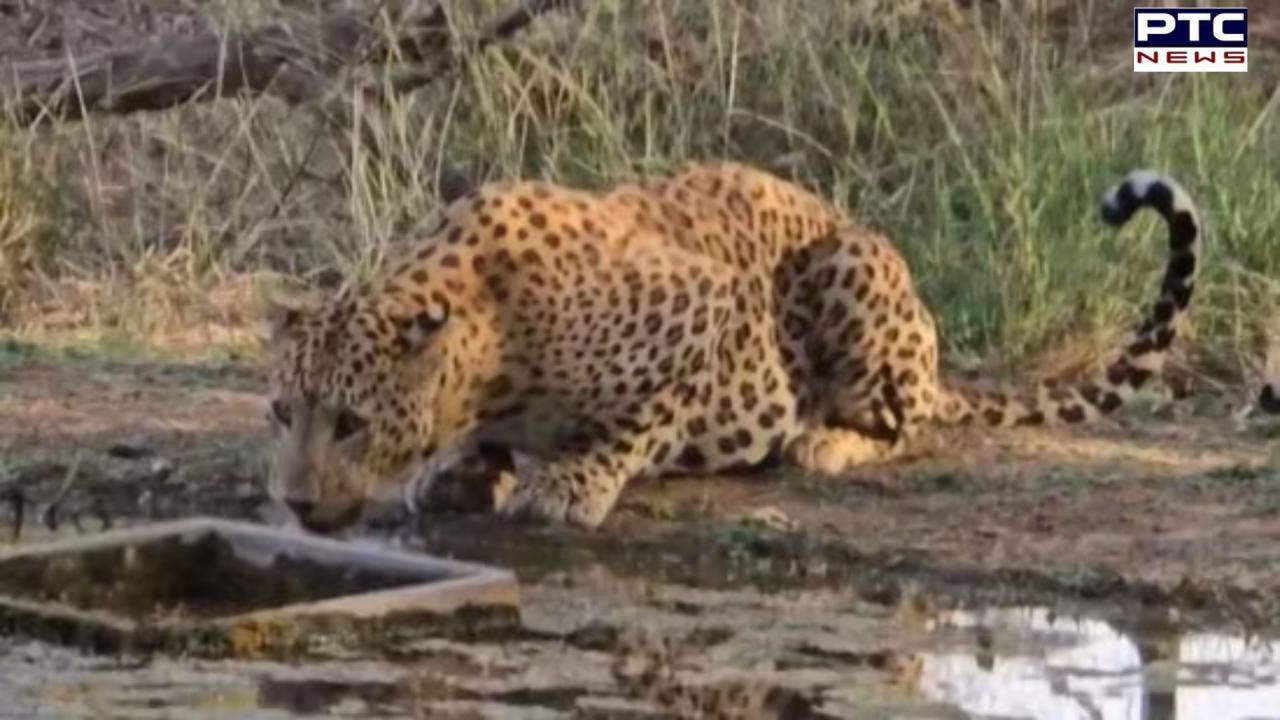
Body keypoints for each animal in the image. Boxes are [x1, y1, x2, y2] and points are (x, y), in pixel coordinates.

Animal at [264, 162, 1203, 532]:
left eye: (351, 423)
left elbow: (634, 424)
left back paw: (824, 442)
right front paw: (461, 469)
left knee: (912, 427)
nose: (294, 503)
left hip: (851, 266)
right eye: (280, 414)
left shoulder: (707, 312)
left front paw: (568, 485)